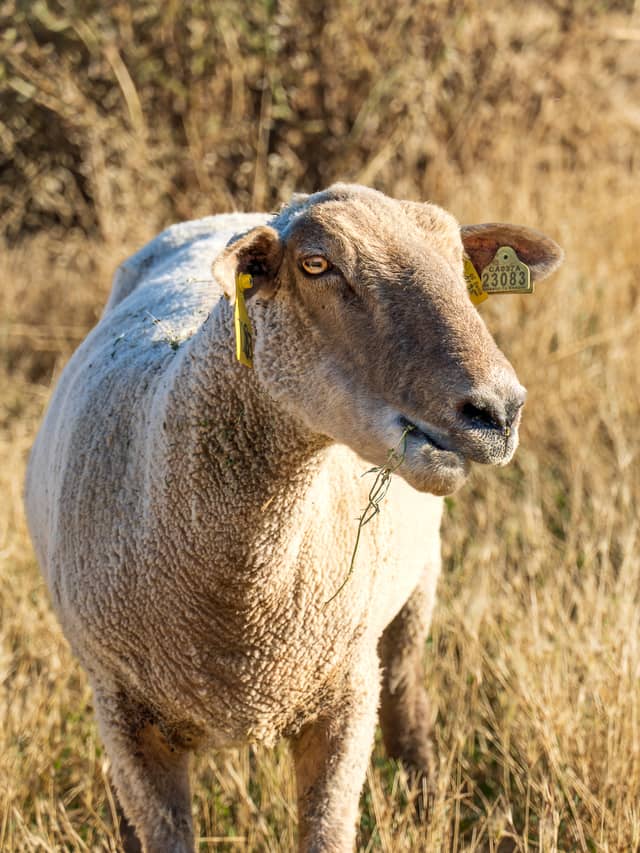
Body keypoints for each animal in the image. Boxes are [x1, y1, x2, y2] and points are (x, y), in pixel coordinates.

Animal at [25, 184, 563, 853]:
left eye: (460, 270)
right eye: (316, 264)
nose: (499, 409)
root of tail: (232, 214)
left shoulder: (346, 697)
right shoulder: (126, 715)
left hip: (416, 590)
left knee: (407, 703)